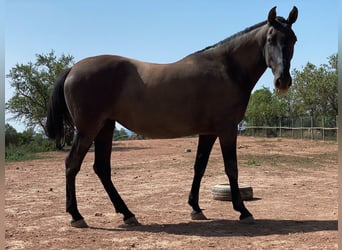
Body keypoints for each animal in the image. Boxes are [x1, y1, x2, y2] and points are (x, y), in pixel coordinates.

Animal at [46, 6, 298, 229]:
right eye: (270, 39)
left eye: (293, 40)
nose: (283, 81)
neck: (226, 69)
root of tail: (72, 69)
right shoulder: (227, 129)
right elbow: (231, 169)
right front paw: (243, 211)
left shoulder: (208, 132)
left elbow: (199, 166)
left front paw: (195, 208)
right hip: (88, 129)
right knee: (72, 164)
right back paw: (76, 216)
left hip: (105, 127)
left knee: (102, 169)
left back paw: (128, 214)